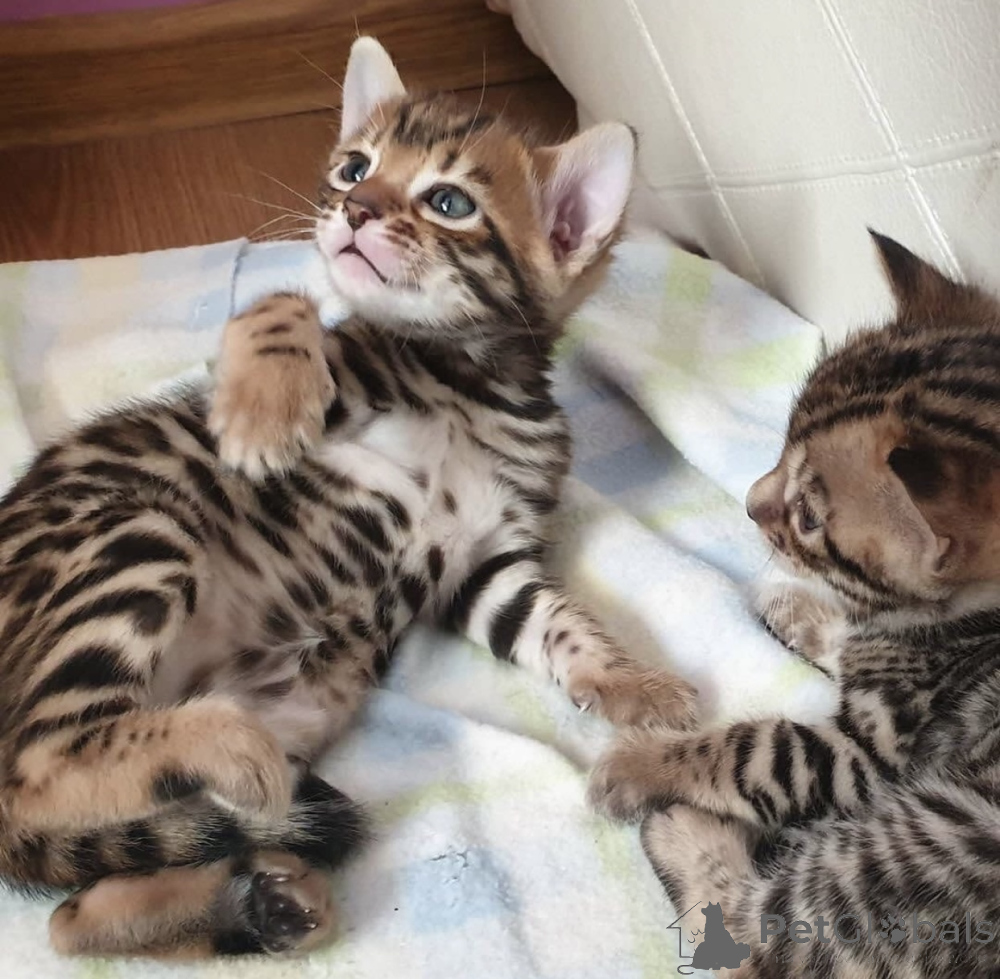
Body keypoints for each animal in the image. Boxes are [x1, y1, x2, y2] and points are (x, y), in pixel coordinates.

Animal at [0, 37, 697, 960]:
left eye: (449, 201)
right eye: (354, 167)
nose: (352, 209)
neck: (469, 382)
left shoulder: (483, 563)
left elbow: (555, 620)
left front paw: (632, 681)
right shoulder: (340, 375)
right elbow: (284, 301)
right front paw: (262, 416)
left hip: (301, 702)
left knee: (68, 904)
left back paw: (254, 902)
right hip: (138, 532)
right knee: (35, 767)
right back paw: (222, 748)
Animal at [589, 232, 1000, 978]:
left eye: (809, 516)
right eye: (783, 440)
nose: (751, 503)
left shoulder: (874, 753)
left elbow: (755, 749)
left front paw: (640, 765)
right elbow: (853, 638)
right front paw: (800, 610)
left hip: (942, 837)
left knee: (759, 942)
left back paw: (679, 826)